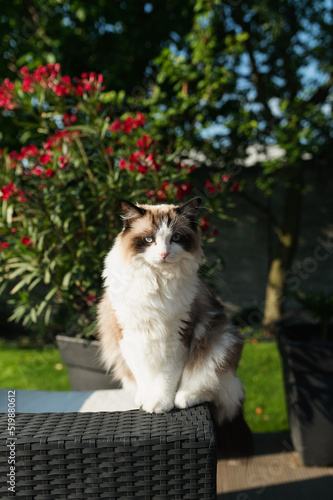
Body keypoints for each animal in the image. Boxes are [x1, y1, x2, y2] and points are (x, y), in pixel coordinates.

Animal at [97, 197, 253, 456]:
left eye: (176, 238)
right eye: (149, 240)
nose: (163, 253)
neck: (156, 281)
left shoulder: (177, 339)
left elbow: (166, 380)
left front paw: (161, 404)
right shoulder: (131, 338)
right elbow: (145, 377)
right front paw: (148, 402)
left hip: (221, 341)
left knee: (209, 387)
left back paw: (182, 398)